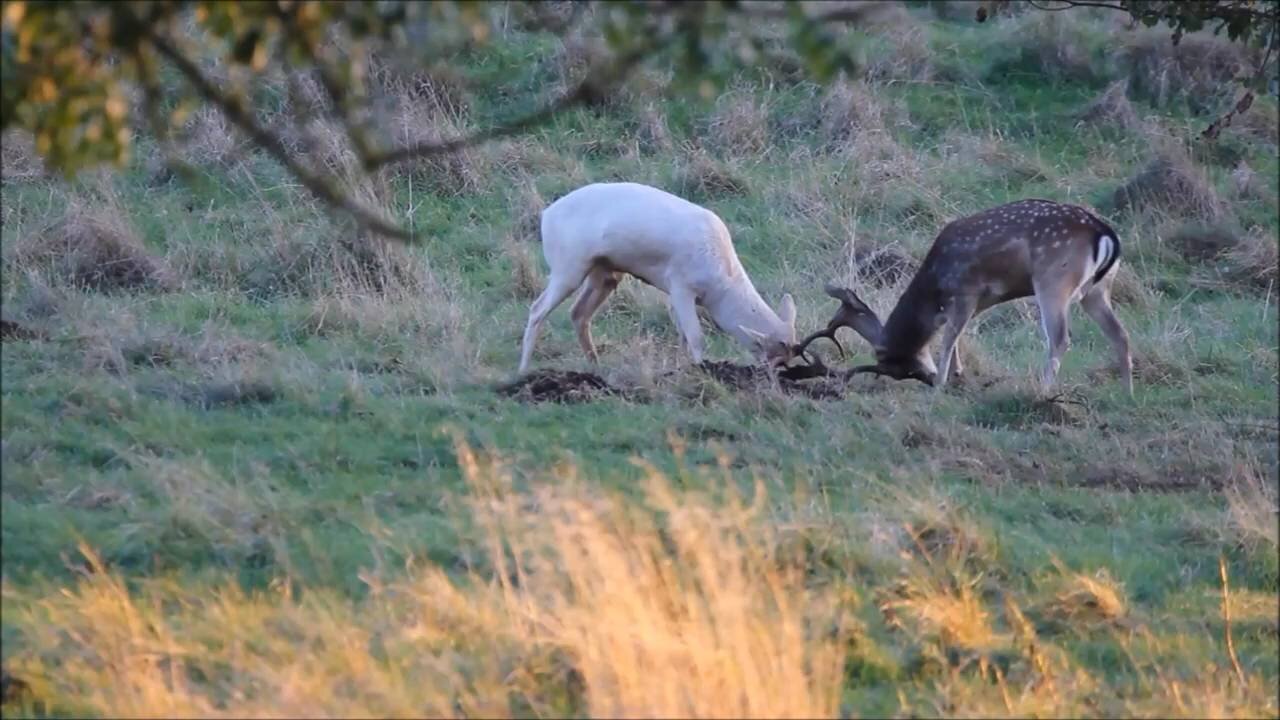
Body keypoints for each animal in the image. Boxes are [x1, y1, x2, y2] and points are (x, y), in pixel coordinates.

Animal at [514, 181, 793, 371]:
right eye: (775, 354)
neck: (721, 281)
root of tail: (546, 215)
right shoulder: (681, 288)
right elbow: (696, 337)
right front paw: (702, 368)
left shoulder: (672, 295)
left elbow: (682, 335)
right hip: (568, 270)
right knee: (537, 309)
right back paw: (523, 369)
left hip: (605, 275)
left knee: (578, 313)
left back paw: (596, 365)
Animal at [793, 197, 1136, 392]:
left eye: (892, 361)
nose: (926, 377)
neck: (935, 282)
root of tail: (1106, 235)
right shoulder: (975, 301)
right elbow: (957, 333)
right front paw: (957, 374)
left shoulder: (966, 289)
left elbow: (948, 338)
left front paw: (942, 383)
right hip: (1097, 290)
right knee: (1121, 334)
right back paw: (1127, 393)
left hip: (1054, 281)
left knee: (1061, 338)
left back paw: (1044, 390)